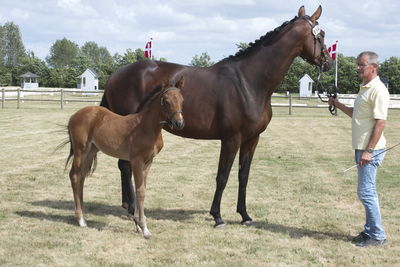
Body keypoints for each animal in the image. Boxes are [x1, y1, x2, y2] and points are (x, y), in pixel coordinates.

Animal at [65, 77, 184, 239]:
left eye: (182, 100)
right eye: (166, 101)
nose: (179, 123)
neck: (146, 126)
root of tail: (74, 116)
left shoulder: (148, 161)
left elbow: (142, 188)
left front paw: (138, 224)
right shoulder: (136, 161)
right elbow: (140, 191)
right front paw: (144, 228)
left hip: (91, 151)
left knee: (82, 177)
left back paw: (83, 215)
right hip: (80, 150)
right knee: (74, 176)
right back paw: (81, 219)